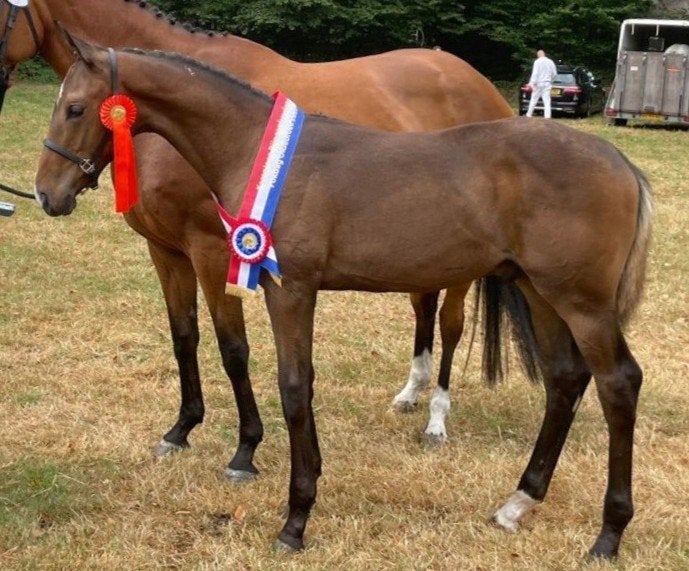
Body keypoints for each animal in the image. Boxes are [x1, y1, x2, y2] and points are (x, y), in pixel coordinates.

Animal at [0, 0, 516, 470]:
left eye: (75, 108)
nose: (45, 193)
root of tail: (480, 85)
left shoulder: (211, 249)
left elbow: (233, 348)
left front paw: (246, 447)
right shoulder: (165, 250)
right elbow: (184, 337)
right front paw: (181, 429)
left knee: (450, 324)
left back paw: (436, 420)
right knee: (422, 308)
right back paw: (411, 393)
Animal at [34, 36, 651, 559]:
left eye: (75, 109)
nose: (46, 194)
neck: (259, 152)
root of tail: (622, 163)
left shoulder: (290, 290)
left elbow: (293, 387)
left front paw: (295, 517)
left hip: (582, 305)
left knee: (618, 383)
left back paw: (609, 534)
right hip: (541, 293)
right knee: (565, 381)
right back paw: (518, 502)